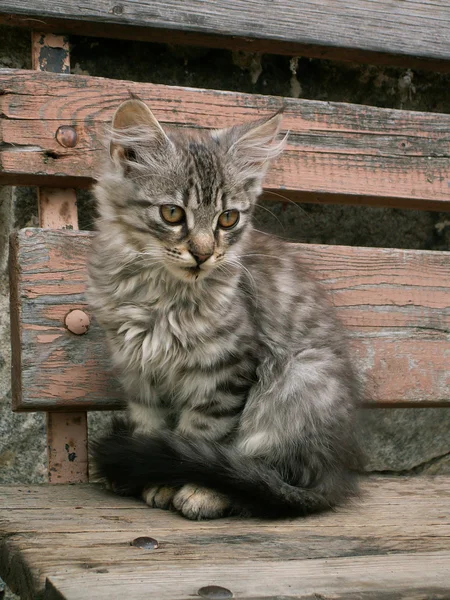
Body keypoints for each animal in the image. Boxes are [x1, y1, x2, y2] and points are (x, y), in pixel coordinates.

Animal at [89, 98, 362, 520]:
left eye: (227, 218)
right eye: (172, 214)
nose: (203, 254)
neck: (159, 296)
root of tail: (338, 469)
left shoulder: (224, 372)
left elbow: (199, 438)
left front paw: (177, 484)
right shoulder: (138, 375)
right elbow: (152, 430)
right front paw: (148, 475)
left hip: (295, 382)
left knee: (262, 474)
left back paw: (212, 494)